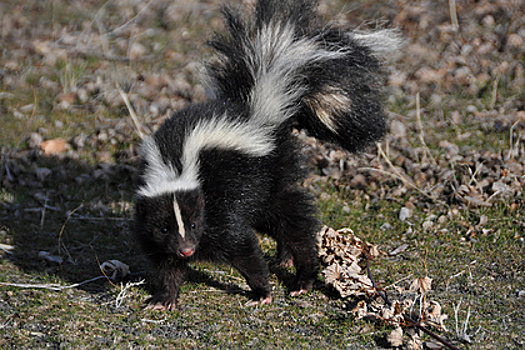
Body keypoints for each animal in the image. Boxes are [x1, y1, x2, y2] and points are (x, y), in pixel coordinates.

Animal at [133, 0, 400, 308]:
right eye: (163, 228)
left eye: (194, 222)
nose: (187, 250)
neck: (175, 166)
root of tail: (262, 112)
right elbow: (165, 263)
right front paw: (164, 298)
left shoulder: (220, 204)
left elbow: (242, 246)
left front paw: (262, 292)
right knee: (278, 221)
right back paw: (284, 259)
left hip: (270, 175)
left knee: (293, 222)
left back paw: (303, 277)